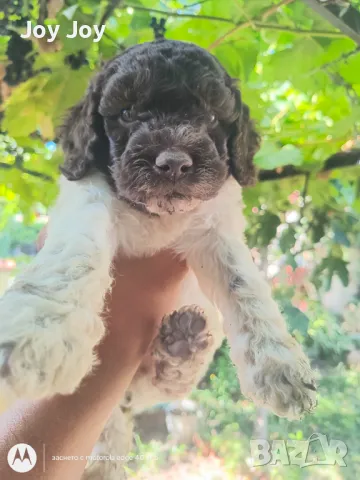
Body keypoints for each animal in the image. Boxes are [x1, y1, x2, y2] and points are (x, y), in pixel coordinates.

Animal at [0, 39, 316, 478]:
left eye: (212, 116)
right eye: (127, 112)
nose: (174, 162)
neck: (156, 217)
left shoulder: (216, 227)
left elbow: (244, 287)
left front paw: (279, 365)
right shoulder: (87, 196)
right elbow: (75, 254)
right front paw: (40, 332)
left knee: (153, 388)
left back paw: (180, 349)